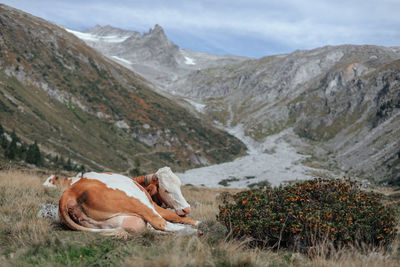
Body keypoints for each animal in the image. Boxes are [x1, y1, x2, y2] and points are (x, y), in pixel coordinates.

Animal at [57, 169, 200, 236]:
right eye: (166, 190)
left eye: (179, 186)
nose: (186, 208)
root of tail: (71, 190)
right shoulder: (155, 206)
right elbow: (173, 215)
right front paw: (197, 222)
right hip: (137, 202)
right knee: (160, 223)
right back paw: (193, 231)